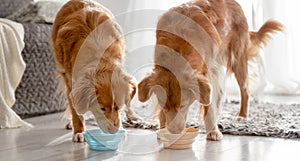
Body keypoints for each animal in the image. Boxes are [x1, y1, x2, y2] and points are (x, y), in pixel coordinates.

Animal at [51, 0, 137, 142]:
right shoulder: (70, 80)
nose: (114, 131)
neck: (101, 57)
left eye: (119, 107)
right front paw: (79, 131)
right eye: (101, 108)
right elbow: (75, 109)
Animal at [137, 0, 282, 140]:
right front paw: (162, 127)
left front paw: (213, 131)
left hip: (237, 58)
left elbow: (210, 105)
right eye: (165, 106)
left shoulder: (211, 72)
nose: (174, 132)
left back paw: (242, 115)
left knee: (244, 89)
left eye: (182, 106)